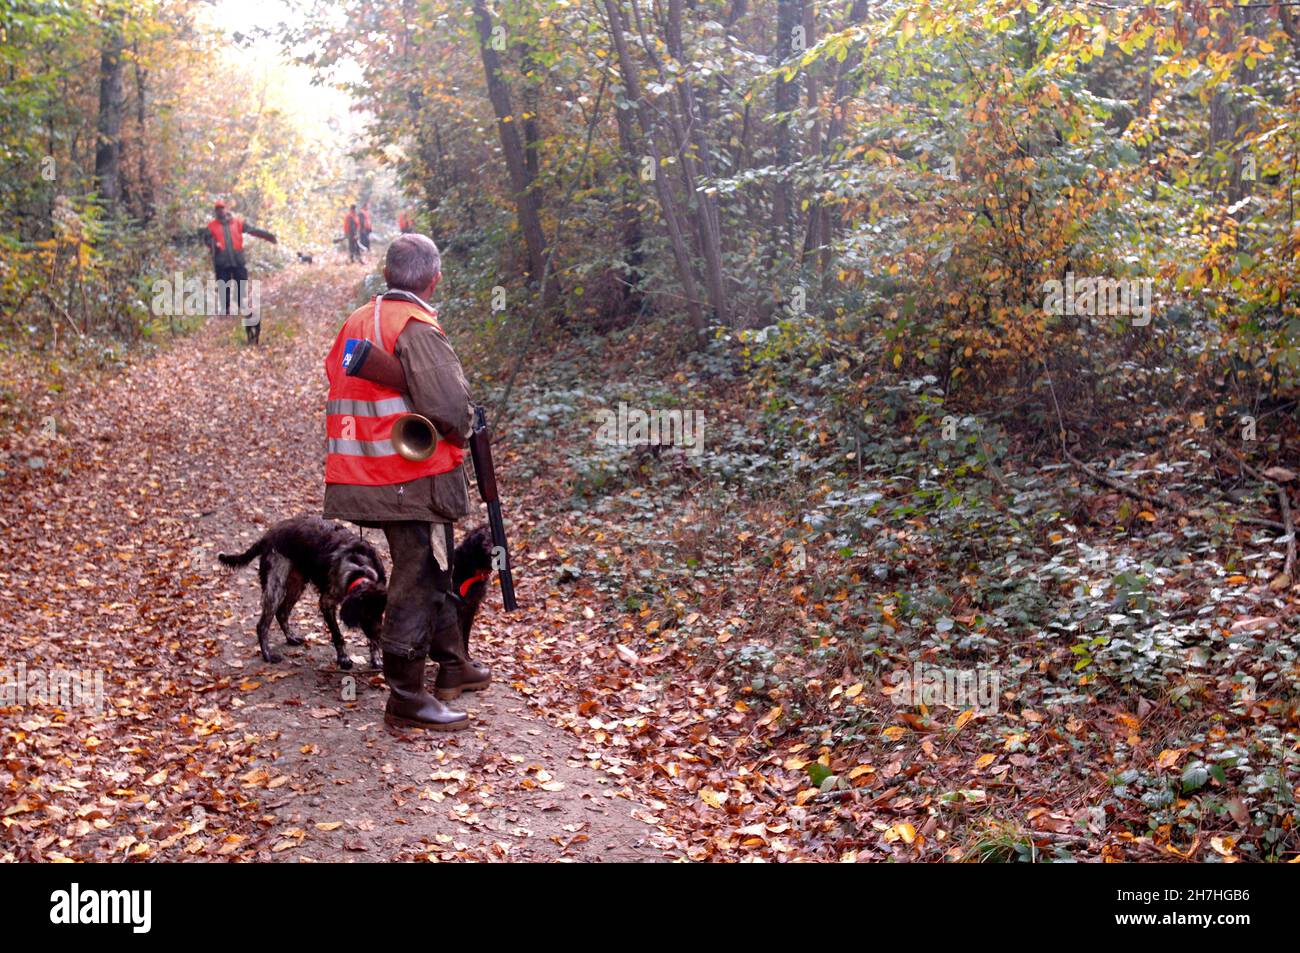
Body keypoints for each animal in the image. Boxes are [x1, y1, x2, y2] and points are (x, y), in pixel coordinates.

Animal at [218, 517, 384, 665]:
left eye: (380, 614)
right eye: (365, 615)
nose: (380, 637)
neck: (360, 568)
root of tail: (268, 535)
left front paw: (376, 657)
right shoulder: (327, 602)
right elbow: (337, 635)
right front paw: (343, 658)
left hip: (296, 585)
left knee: (282, 613)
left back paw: (290, 638)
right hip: (276, 587)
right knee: (262, 625)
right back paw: (268, 655)